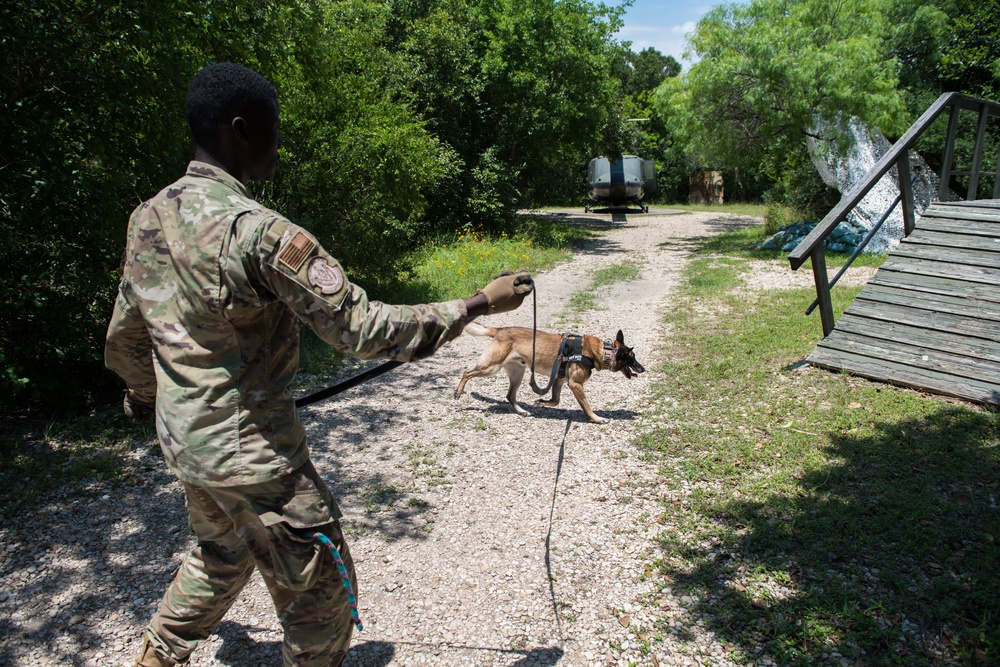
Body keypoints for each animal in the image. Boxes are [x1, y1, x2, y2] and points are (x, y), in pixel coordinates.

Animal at [452, 322, 644, 422]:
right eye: (633, 358)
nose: (643, 369)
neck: (603, 351)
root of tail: (500, 330)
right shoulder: (575, 384)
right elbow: (586, 405)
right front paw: (596, 418)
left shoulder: (558, 380)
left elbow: (555, 400)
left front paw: (541, 401)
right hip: (491, 367)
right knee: (467, 372)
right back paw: (458, 391)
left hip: (518, 374)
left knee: (510, 396)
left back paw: (522, 411)